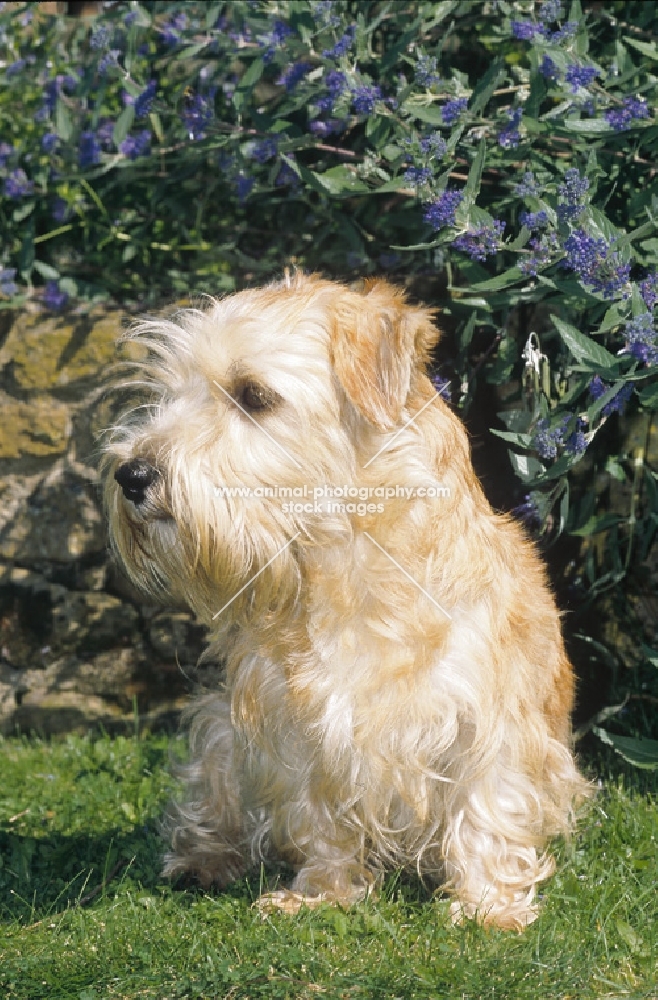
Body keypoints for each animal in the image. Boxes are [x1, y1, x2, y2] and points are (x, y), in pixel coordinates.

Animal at [104, 272, 584, 928]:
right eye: (169, 393)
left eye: (253, 395)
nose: (131, 475)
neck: (343, 563)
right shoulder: (297, 728)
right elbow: (320, 817)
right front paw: (320, 893)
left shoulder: (488, 720)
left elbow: (487, 806)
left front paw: (489, 905)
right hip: (222, 732)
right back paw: (205, 858)